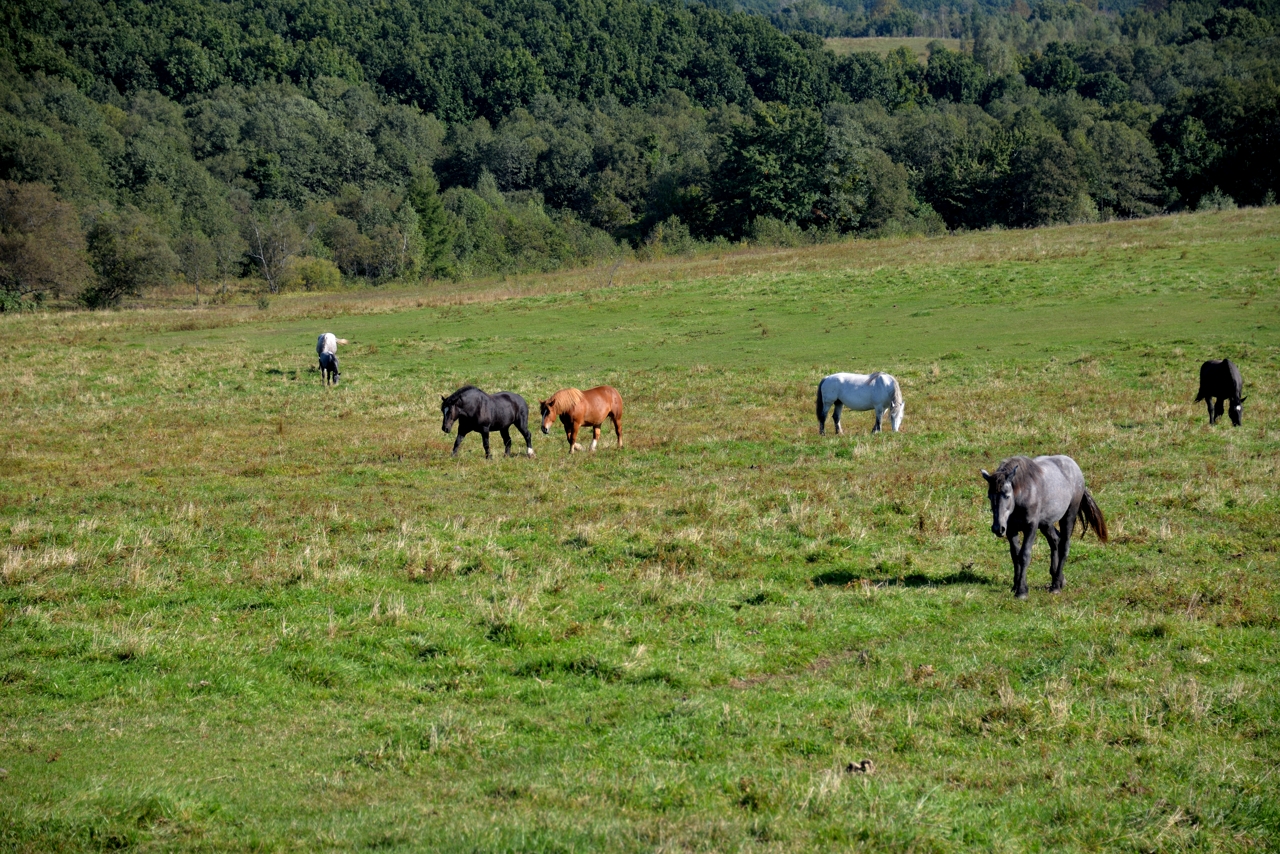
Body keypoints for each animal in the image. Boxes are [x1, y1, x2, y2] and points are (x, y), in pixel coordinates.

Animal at [983, 453, 1105, 601]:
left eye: (1006, 495)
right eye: (989, 497)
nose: (997, 528)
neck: (1024, 492)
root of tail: (1074, 466)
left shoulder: (1031, 527)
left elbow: (1024, 555)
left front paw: (1022, 591)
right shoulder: (1011, 529)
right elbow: (1015, 556)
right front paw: (1015, 587)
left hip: (1068, 516)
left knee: (1064, 546)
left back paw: (1056, 586)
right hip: (1046, 523)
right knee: (1055, 540)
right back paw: (1059, 580)